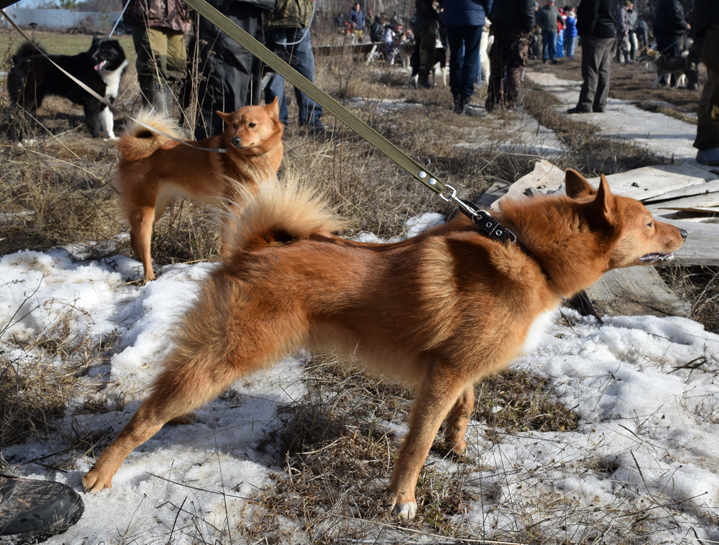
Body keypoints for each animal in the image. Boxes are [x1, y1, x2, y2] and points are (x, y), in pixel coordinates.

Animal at [83, 170, 687, 520]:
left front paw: (457, 446)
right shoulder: (442, 375)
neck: (531, 253)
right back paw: (100, 473)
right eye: (650, 222)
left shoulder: (456, 368)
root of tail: (255, 248)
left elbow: (466, 405)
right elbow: (416, 444)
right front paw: (403, 499)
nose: (682, 233)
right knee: (147, 413)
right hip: (224, 357)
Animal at [112, 98, 284, 283]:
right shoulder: (231, 208)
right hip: (145, 210)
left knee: (133, 234)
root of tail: (130, 147)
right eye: (234, 125)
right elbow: (228, 241)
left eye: (251, 125)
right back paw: (148, 275)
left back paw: (136, 260)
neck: (255, 157)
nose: (235, 140)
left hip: (158, 206)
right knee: (143, 241)